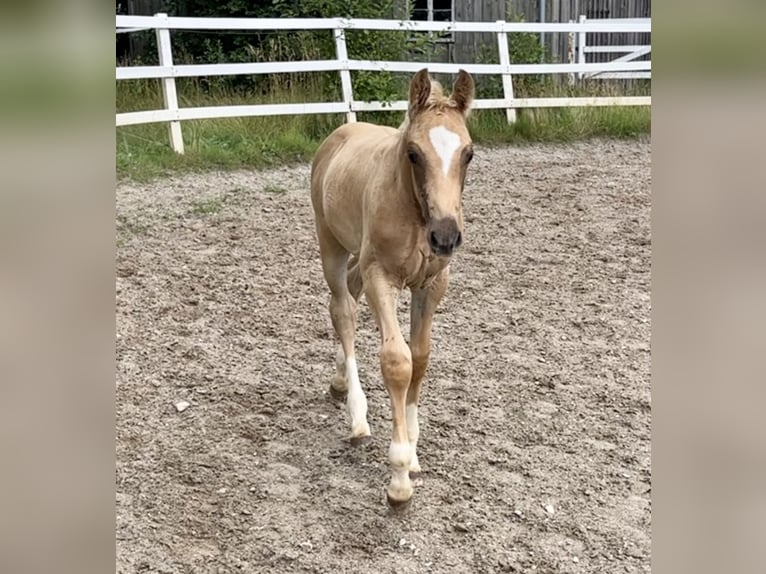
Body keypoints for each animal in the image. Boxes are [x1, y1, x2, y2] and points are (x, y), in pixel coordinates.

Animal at [310, 68, 474, 508]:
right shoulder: (382, 276)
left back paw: (338, 382)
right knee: (343, 310)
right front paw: (399, 475)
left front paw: (413, 453)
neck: (414, 213)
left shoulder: (432, 284)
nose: (446, 237)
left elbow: (420, 356)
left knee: (348, 295)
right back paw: (357, 415)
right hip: (331, 244)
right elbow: (397, 361)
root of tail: (342, 132)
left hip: (360, 259)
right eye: (414, 153)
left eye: (469, 153)